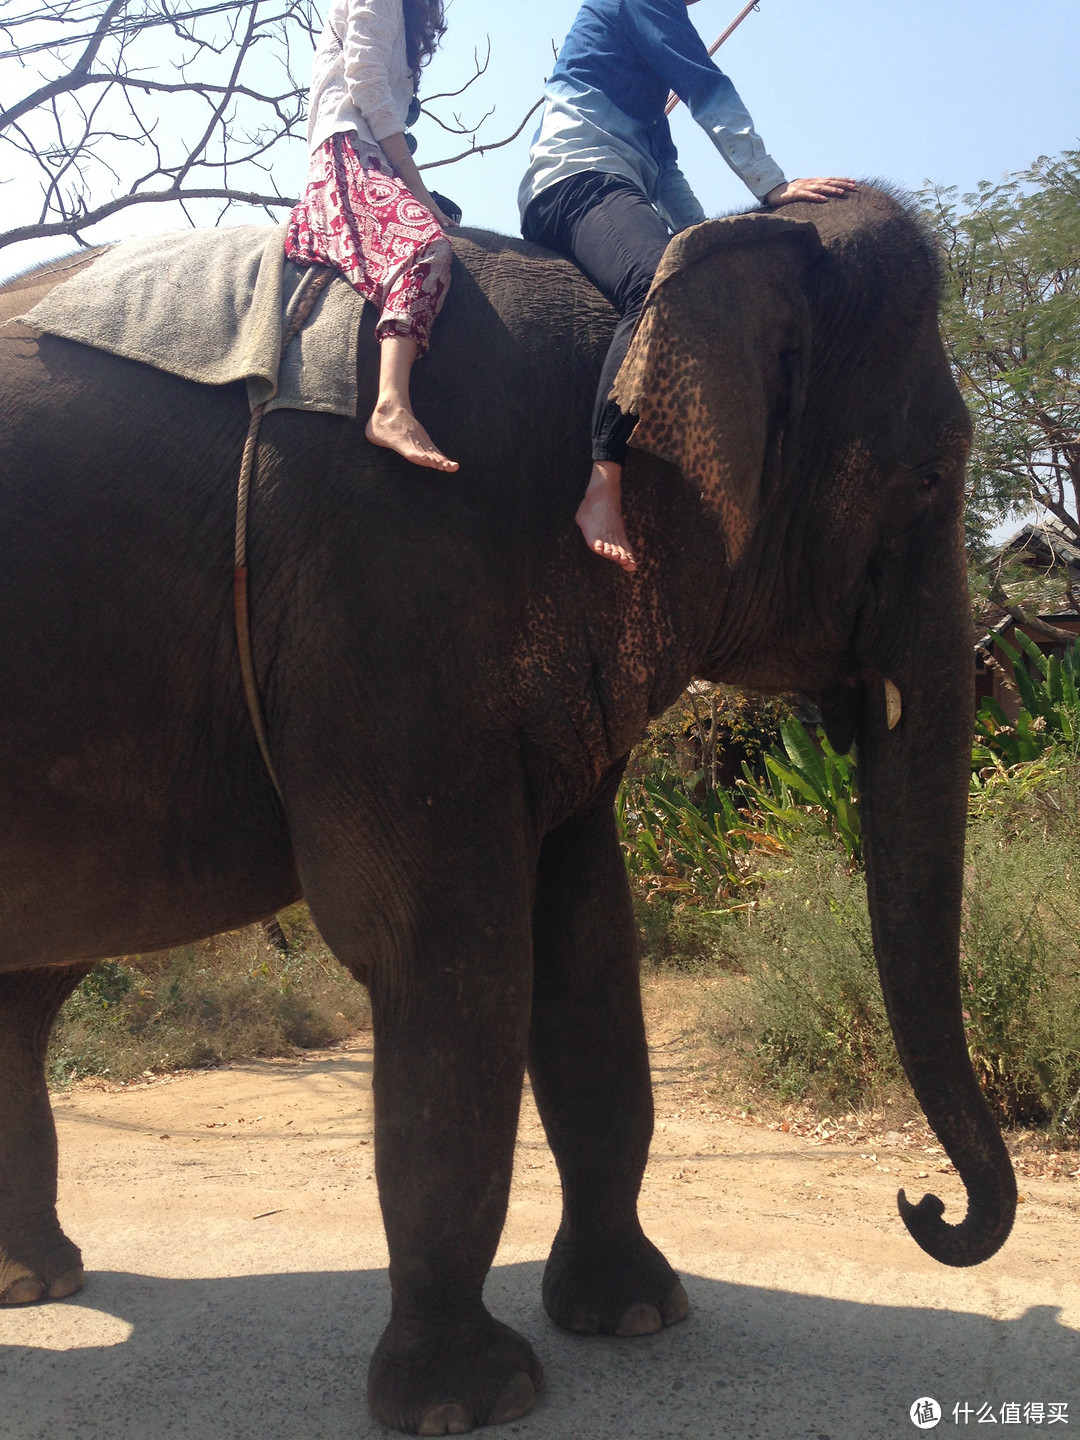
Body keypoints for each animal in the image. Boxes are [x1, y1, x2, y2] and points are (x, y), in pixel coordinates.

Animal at [0, 185, 1013, 1434]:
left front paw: (635, 1316)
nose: (926, 1206)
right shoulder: (391, 592)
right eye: (929, 480)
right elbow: (445, 947)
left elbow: (587, 944)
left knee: (27, 995)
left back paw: (37, 1280)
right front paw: (471, 1400)